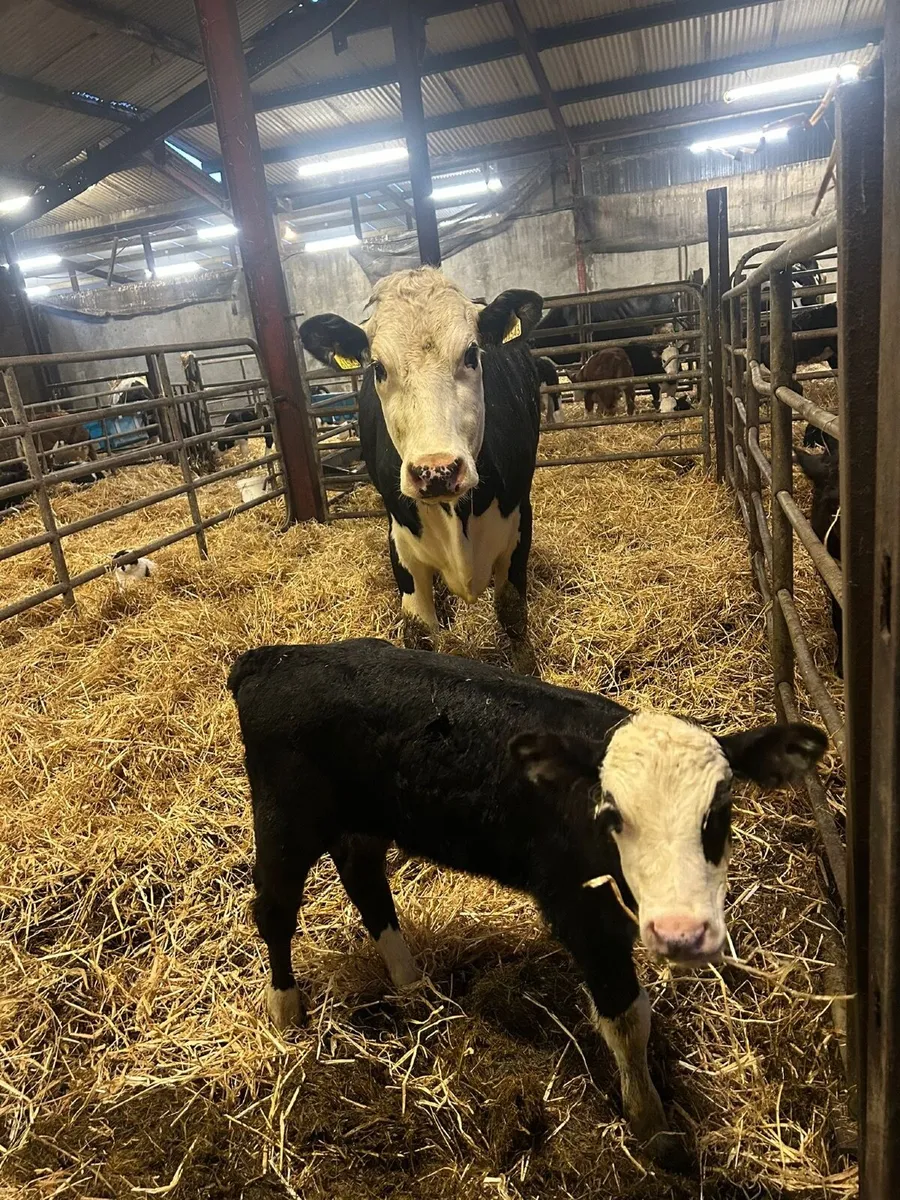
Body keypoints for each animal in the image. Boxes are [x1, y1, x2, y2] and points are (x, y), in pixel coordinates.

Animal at [229, 638, 827, 1169]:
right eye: (613, 816)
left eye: (717, 814)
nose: (681, 930)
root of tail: (270, 659)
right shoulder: (579, 911)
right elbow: (626, 1018)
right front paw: (654, 1129)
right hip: (286, 818)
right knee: (275, 909)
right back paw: (286, 1011)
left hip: (364, 818)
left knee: (363, 875)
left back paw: (413, 985)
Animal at [299, 269, 544, 670]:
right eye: (378, 367)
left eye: (472, 354)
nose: (437, 471)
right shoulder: (402, 542)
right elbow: (419, 630)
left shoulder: (519, 523)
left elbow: (512, 613)